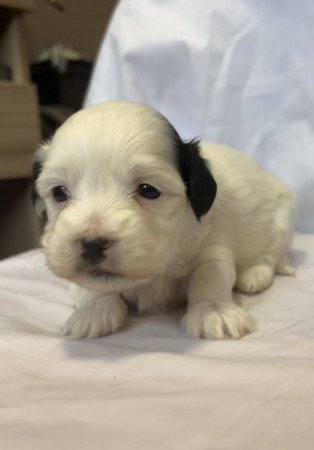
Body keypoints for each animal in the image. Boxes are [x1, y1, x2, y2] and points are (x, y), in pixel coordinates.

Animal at [32, 100, 296, 340]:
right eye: (59, 193)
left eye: (148, 190)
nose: (93, 244)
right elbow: (87, 287)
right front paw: (94, 310)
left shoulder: (211, 242)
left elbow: (211, 273)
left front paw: (213, 310)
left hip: (282, 218)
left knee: (270, 256)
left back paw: (253, 274)